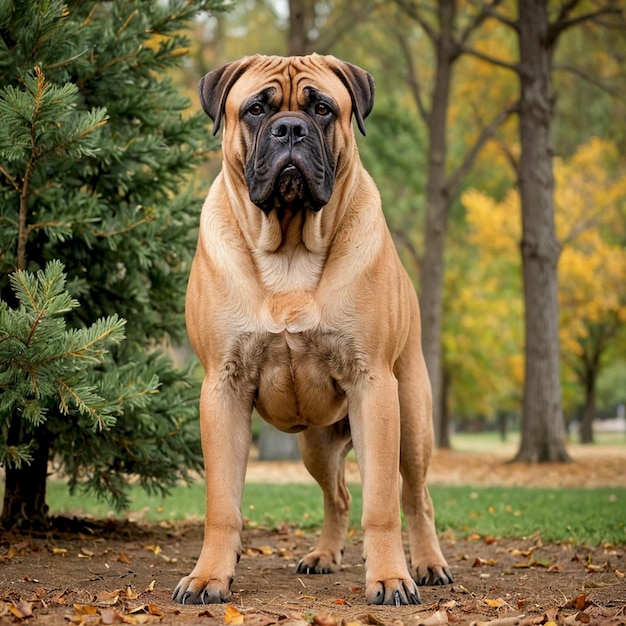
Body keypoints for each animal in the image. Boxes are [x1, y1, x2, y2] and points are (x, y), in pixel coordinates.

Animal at [173, 54, 450, 604]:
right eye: (256, 109)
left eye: (322, 109)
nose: (290, 129)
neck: (290, 248)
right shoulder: (223, 387)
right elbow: (222, 503)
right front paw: (209, 575)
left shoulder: (374, 385)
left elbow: (382, 505)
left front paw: (390, 578)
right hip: (316, 446)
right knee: (337, 495)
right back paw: (323, 555)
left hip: (411, 420)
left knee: (415, 497)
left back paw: (428, 564)